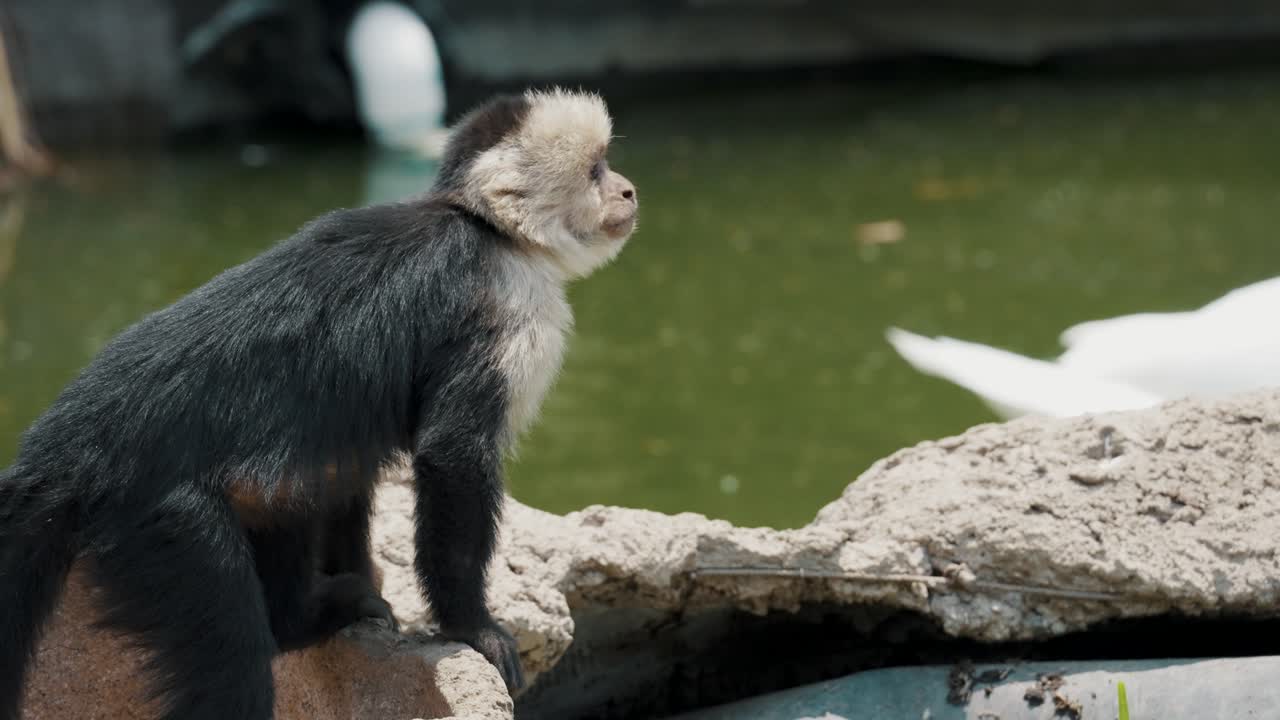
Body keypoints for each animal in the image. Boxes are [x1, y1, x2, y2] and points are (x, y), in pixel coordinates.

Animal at [0, 88, 636, 720]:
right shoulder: (507, 301)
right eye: (596, 170)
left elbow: (344, 473)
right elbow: (452, 454)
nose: (628, 190)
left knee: (298, 486)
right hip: (157, 515)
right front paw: (471, 628)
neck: (489, 229)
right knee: (232, 646)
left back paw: (303, 619)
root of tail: (70, 444)